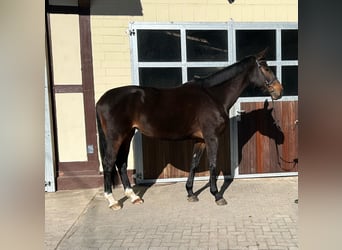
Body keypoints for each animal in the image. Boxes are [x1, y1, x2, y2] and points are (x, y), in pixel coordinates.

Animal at [95, 48, 282, 209]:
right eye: (266, 68)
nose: (279, 90)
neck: (213, 96)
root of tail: (102, 100)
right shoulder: (212, 138)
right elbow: (213, 164)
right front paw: (217, 195)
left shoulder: (200, 140)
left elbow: (194, 163)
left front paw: (191, 193)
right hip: (116, 137)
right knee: (109, 163)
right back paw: (113, 201)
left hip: (127, 136)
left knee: (121, 163)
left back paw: (133, 197)